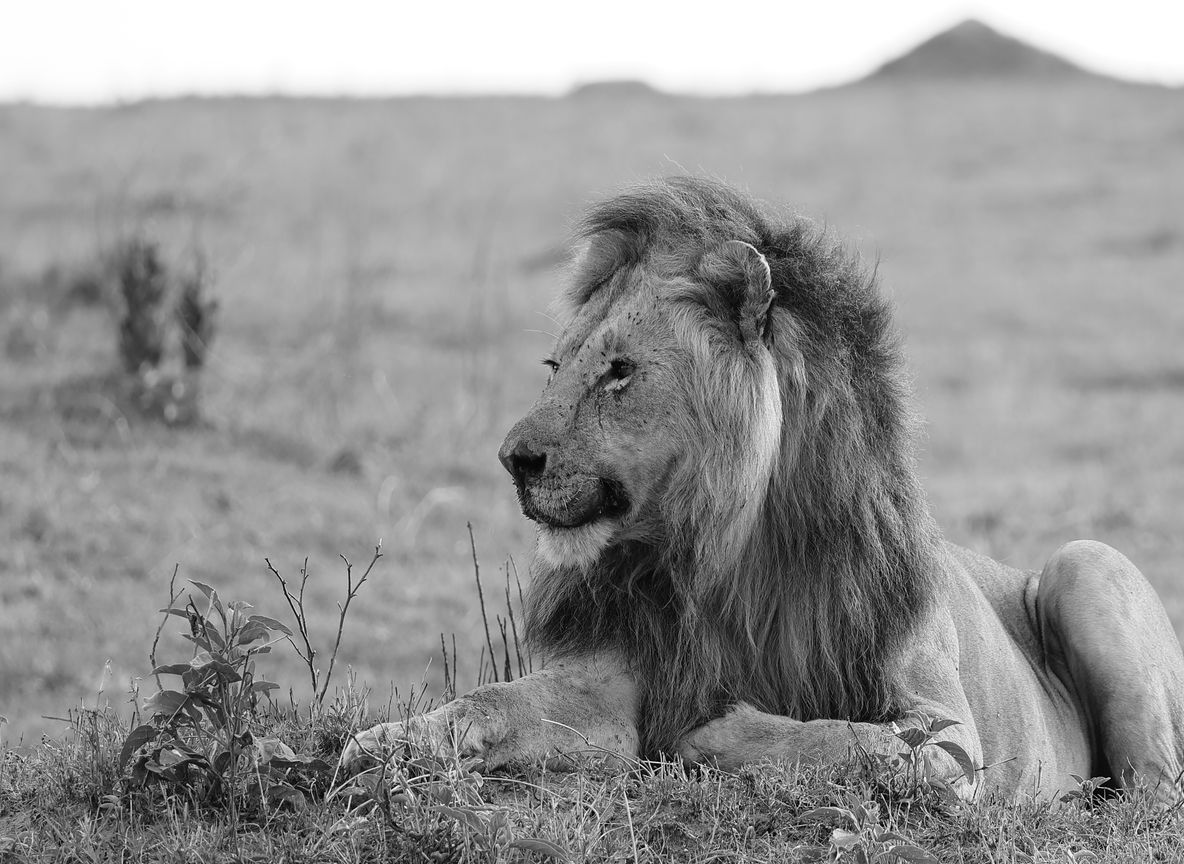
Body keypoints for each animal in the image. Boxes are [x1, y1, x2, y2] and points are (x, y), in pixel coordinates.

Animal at [342, 177, 1184, 802]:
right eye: (556, 368)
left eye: (620, 372)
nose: (513, 458)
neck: (723, 556)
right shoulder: (617, 673)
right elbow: (493, 700)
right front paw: (385, 745)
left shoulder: (953, 742)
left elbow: (856, 742)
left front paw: (711, 734)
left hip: (1086, 562)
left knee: (1153, 788)